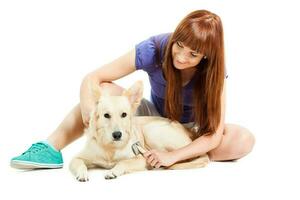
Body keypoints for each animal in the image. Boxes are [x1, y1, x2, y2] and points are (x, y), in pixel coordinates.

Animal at [69, 80, 209, 180]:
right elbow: (79, 163)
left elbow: (123, 163)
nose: (117, 135)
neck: (111, 148)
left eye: (124, 115)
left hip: (152, 132)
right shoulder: (77, 158)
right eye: (106, 115)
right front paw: (82, 174)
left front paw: (113, 171)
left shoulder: (140, 159)